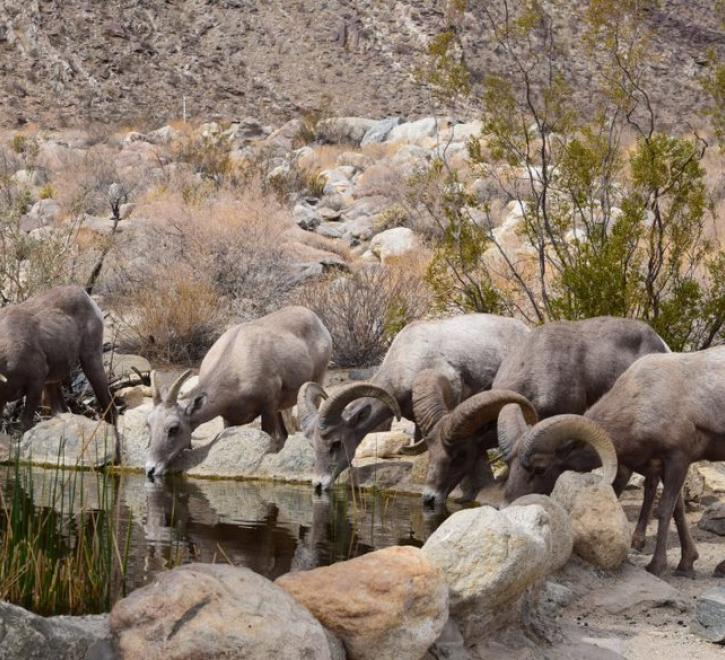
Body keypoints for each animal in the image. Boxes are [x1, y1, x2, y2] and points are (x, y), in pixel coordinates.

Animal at [146, 306, 332, 476]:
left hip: (317, 379)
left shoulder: (268, 409)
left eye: (173, 428)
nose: (150, 469)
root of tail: (316, 319)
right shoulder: (229, 419)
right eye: (148, 424)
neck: (237, 362)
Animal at [500, 346, 724, 576]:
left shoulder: (678, 459)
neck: (641, 401)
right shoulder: (663, 465)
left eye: (540, 468)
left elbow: (664, 511)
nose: (506, 506)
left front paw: (656, 566)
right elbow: (677, 511)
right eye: (510, 465)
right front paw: (686, 564)